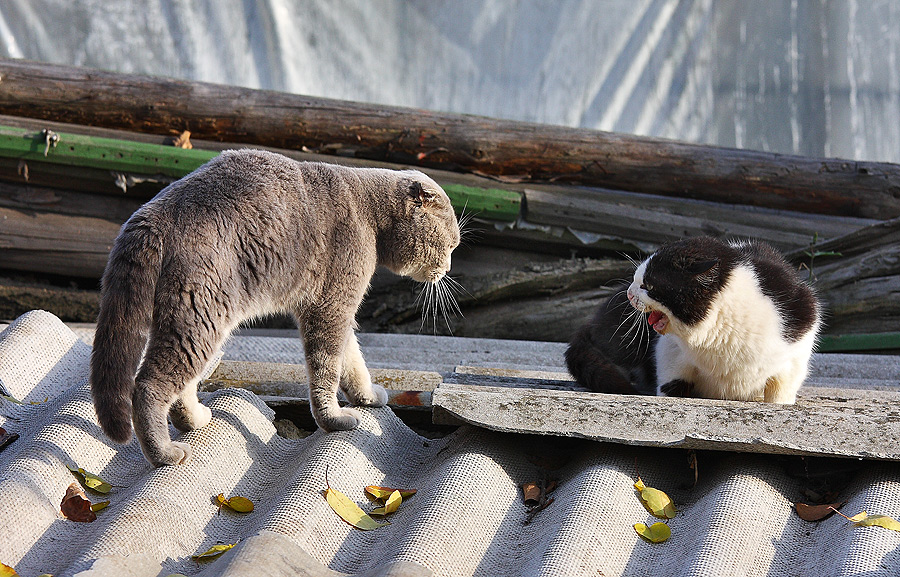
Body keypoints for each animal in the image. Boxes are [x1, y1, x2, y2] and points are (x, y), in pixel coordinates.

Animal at [91, 147, 460, 464]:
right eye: (451, 245)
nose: (448, 269)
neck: (371, 216)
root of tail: (152, 214)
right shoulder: (331, 306)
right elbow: (327, 369)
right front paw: (334, 419)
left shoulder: (338, 309)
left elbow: (353, 359)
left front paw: (366, 396)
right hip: (198, 318)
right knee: (148, 386)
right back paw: (164, 453)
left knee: (182, 384)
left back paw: (194, 419)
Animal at [568, 236, 820, 402]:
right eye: (635, 279)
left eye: (647, 286)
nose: (630, 293)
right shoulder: (670, 350)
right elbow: (672, 380)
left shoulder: (801, 330)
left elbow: (780, 393)